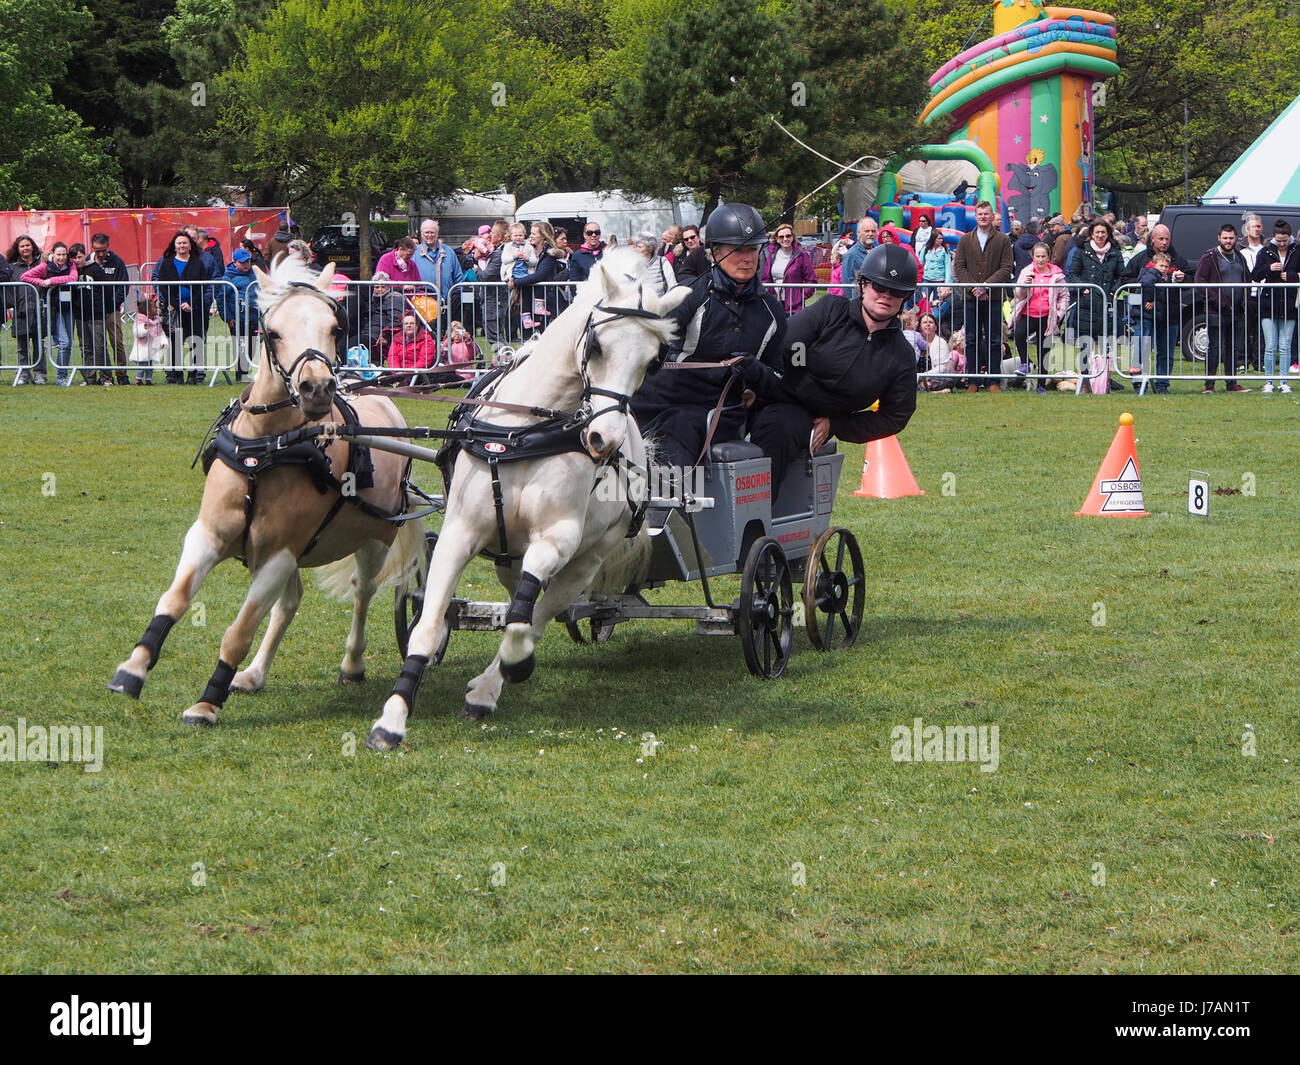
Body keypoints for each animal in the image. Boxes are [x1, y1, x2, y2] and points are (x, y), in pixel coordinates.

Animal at [108, 258, 421, 723]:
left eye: (334, 328)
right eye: (272, 332)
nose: (317, 388)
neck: (268, 449)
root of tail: (385, 402)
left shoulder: (278, 555)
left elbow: (238, 631)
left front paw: (207, 702)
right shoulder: (210, 535)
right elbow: (174, 599)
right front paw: (133, 668)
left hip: (374, 540)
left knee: (362, 593)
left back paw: (352, 663)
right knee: (289, 603)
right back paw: (254, 674)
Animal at [366, 248, 691, 749]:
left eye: (653, 361)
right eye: (597, 346)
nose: (604, 439)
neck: (523, 432)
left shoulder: (557, 538)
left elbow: (523, 621)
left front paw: (513, 663)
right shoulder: (460, 533)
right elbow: (429, 624)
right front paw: (392, 719)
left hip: (585, 562)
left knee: (542, 609)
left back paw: (489, 687)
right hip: (506, 556)